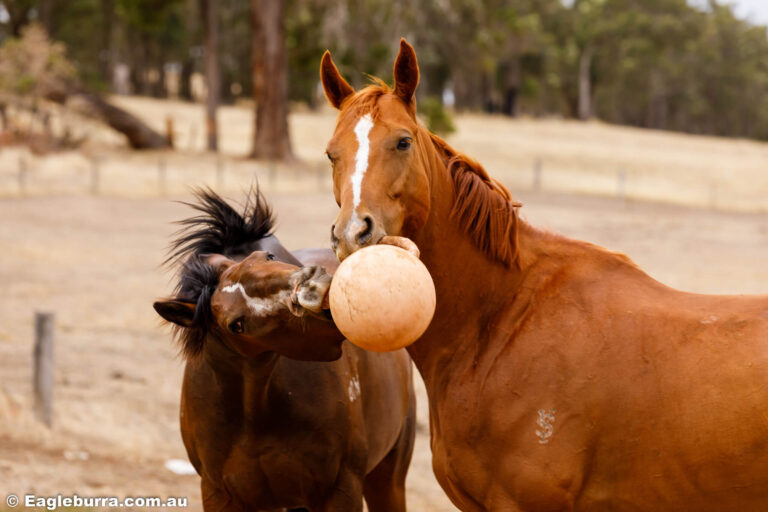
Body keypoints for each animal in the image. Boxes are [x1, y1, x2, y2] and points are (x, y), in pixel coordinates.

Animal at [154, 188, 414, 512]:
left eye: (267, 256)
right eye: (236, 325)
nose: (313, 286)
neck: (254, 414)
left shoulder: (340, 491)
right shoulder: (219, 494)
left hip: (388, 478)